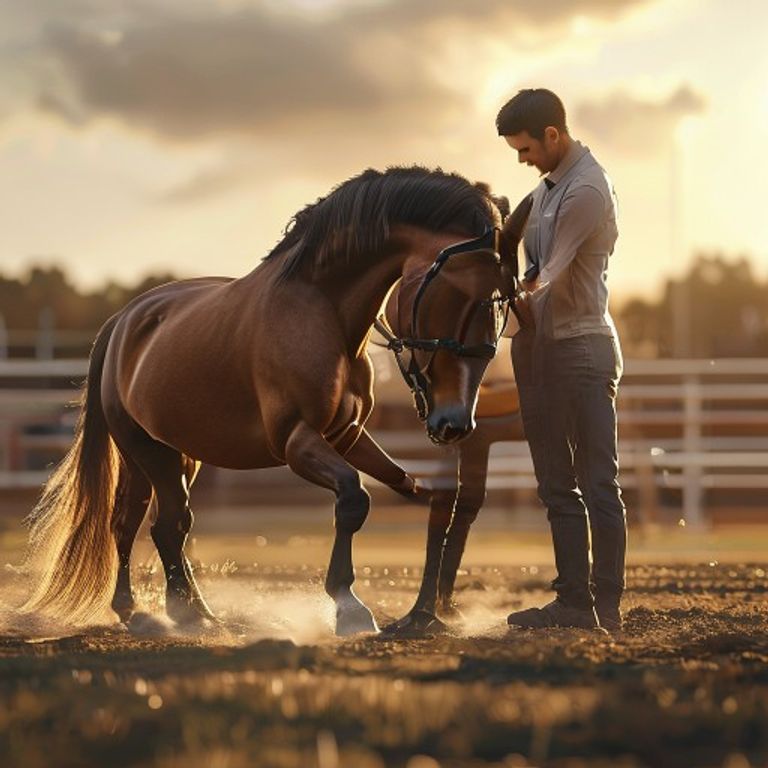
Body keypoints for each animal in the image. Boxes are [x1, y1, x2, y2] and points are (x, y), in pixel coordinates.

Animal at [21, 166, 527, 636]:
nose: (454, 424)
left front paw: (423, 604)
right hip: (146, 452)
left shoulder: (346, 438)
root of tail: (123, 321)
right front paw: (348, 606)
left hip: (178, 456)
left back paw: (187, 613)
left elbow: (420, 493)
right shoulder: (296, 442)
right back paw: (160, 613)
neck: (322, 311)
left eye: (503, 305)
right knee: (149, 523)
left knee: (155, 525)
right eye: (462, 296)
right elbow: (353, 498)